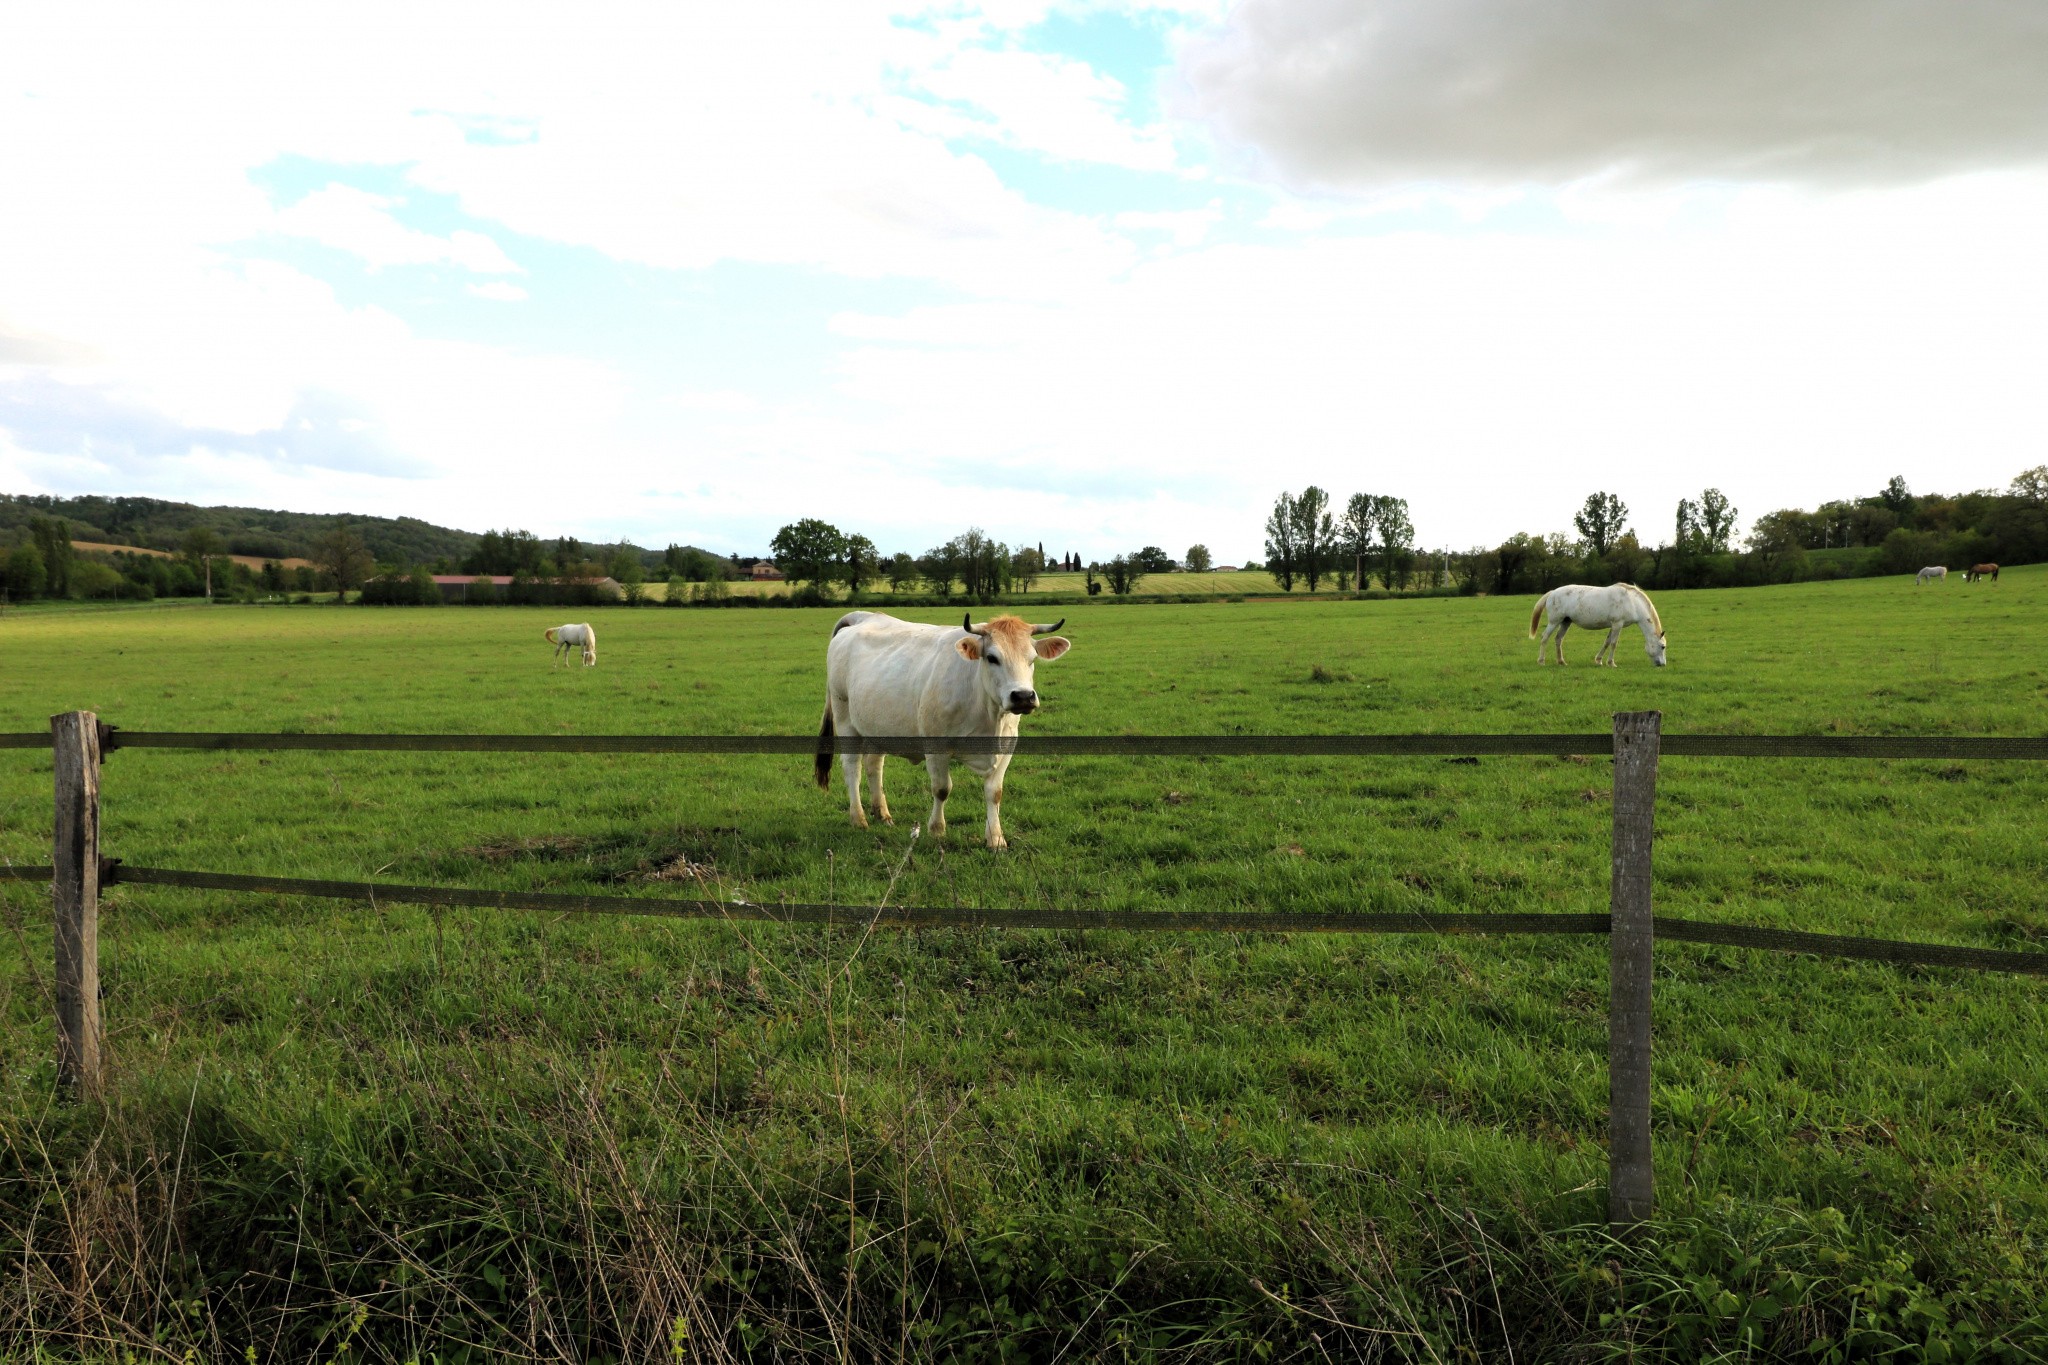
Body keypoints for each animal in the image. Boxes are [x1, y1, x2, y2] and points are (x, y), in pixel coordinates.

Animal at [811, 613, 1073, 847]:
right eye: (992, 658)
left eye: (1032, 658)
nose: (1023, 697)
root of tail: (861, 617)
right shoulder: (936, 747)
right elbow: (942, 789)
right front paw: (936, 830)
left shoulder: (1007, 745)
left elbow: (994, 792)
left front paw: (996, 839)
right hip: (845, 718)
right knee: (852, 768)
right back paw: (859, 818)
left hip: (878, 726)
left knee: (874, 765)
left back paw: (882, 814)